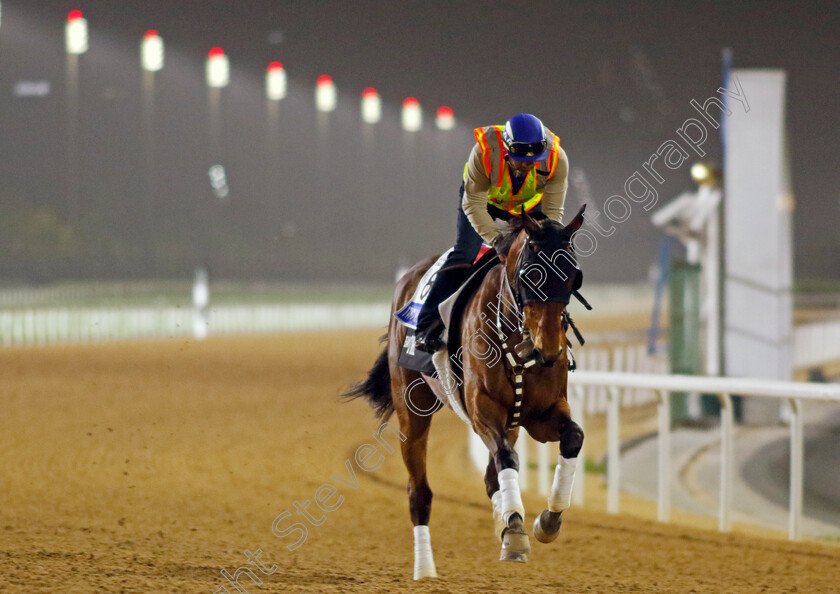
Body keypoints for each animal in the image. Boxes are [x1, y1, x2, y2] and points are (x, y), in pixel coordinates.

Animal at [344, 206, 588, 576]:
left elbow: (572, 437)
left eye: (574, 276)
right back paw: (425, 569)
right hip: (411, 410)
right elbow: (505, 458)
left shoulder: (540, 414)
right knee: (420, 492)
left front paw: (545, 521)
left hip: (512, 421)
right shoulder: (482, 410)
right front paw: (515, 531)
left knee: (491, 477)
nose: (548, 352)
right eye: (530, 275)